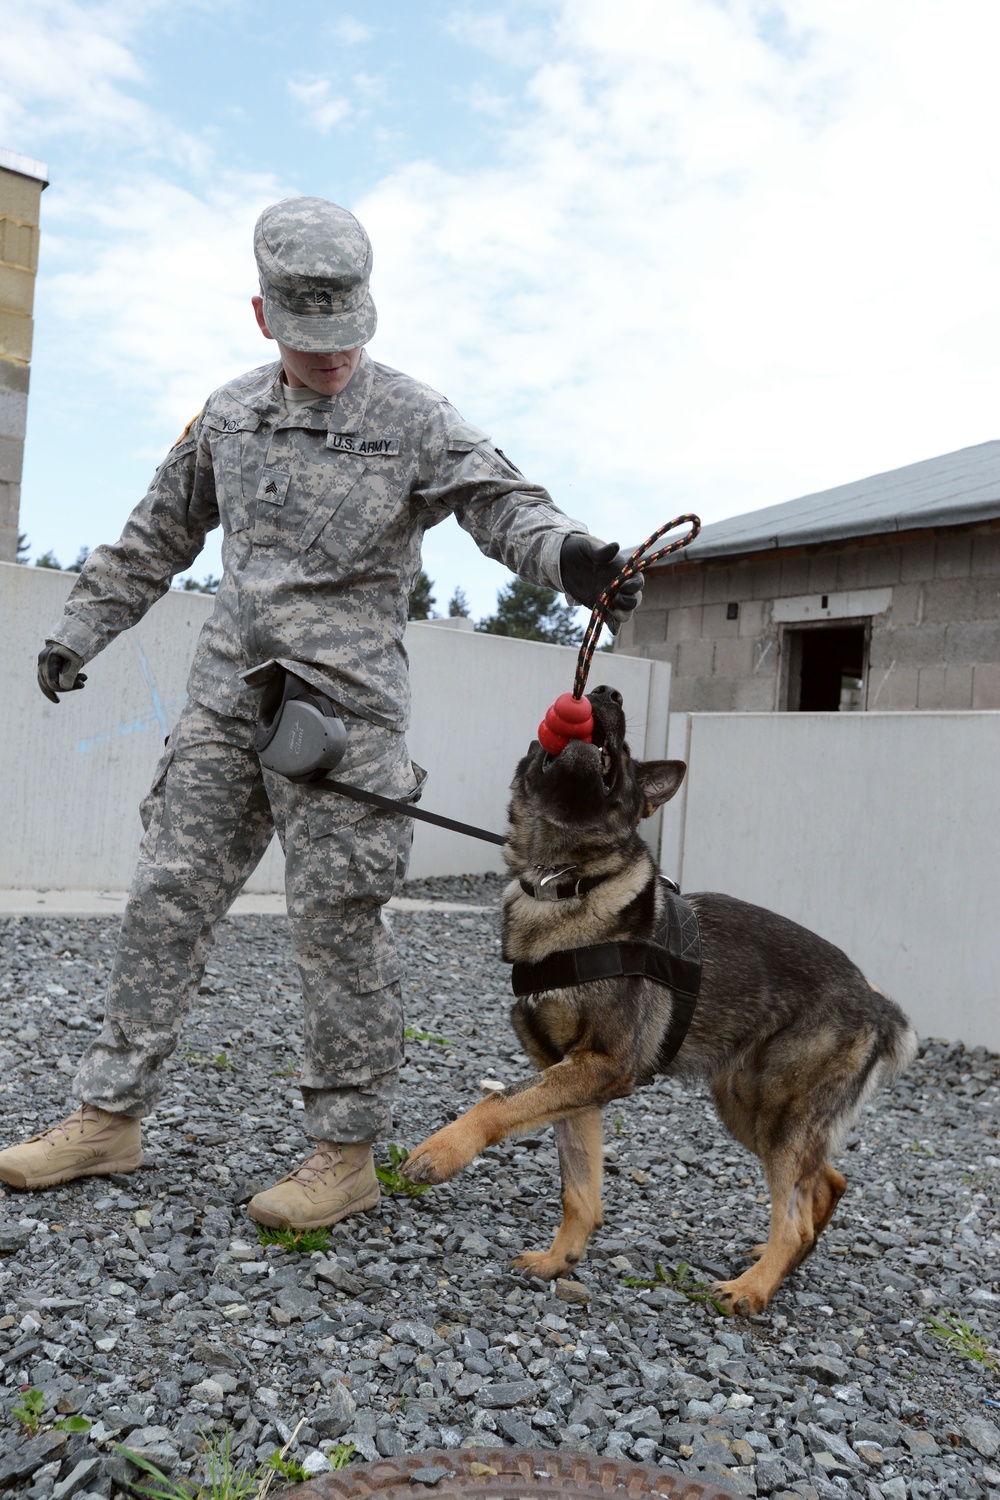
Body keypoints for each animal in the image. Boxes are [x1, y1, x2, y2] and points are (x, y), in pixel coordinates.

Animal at [404, 687, 917, 1308]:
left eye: (623, 753)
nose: (606, 692)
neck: (565, 881)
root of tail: (877, 1003)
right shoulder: (573, 1080)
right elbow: (579, 1189)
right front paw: (559, 1261)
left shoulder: (601, 1067)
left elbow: (498, 1101)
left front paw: (441, 1151)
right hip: (745, 1106)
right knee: (824, 1182)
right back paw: (779, 1268)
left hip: (776, 1114)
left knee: (793, 1216)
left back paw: (752, 1288)